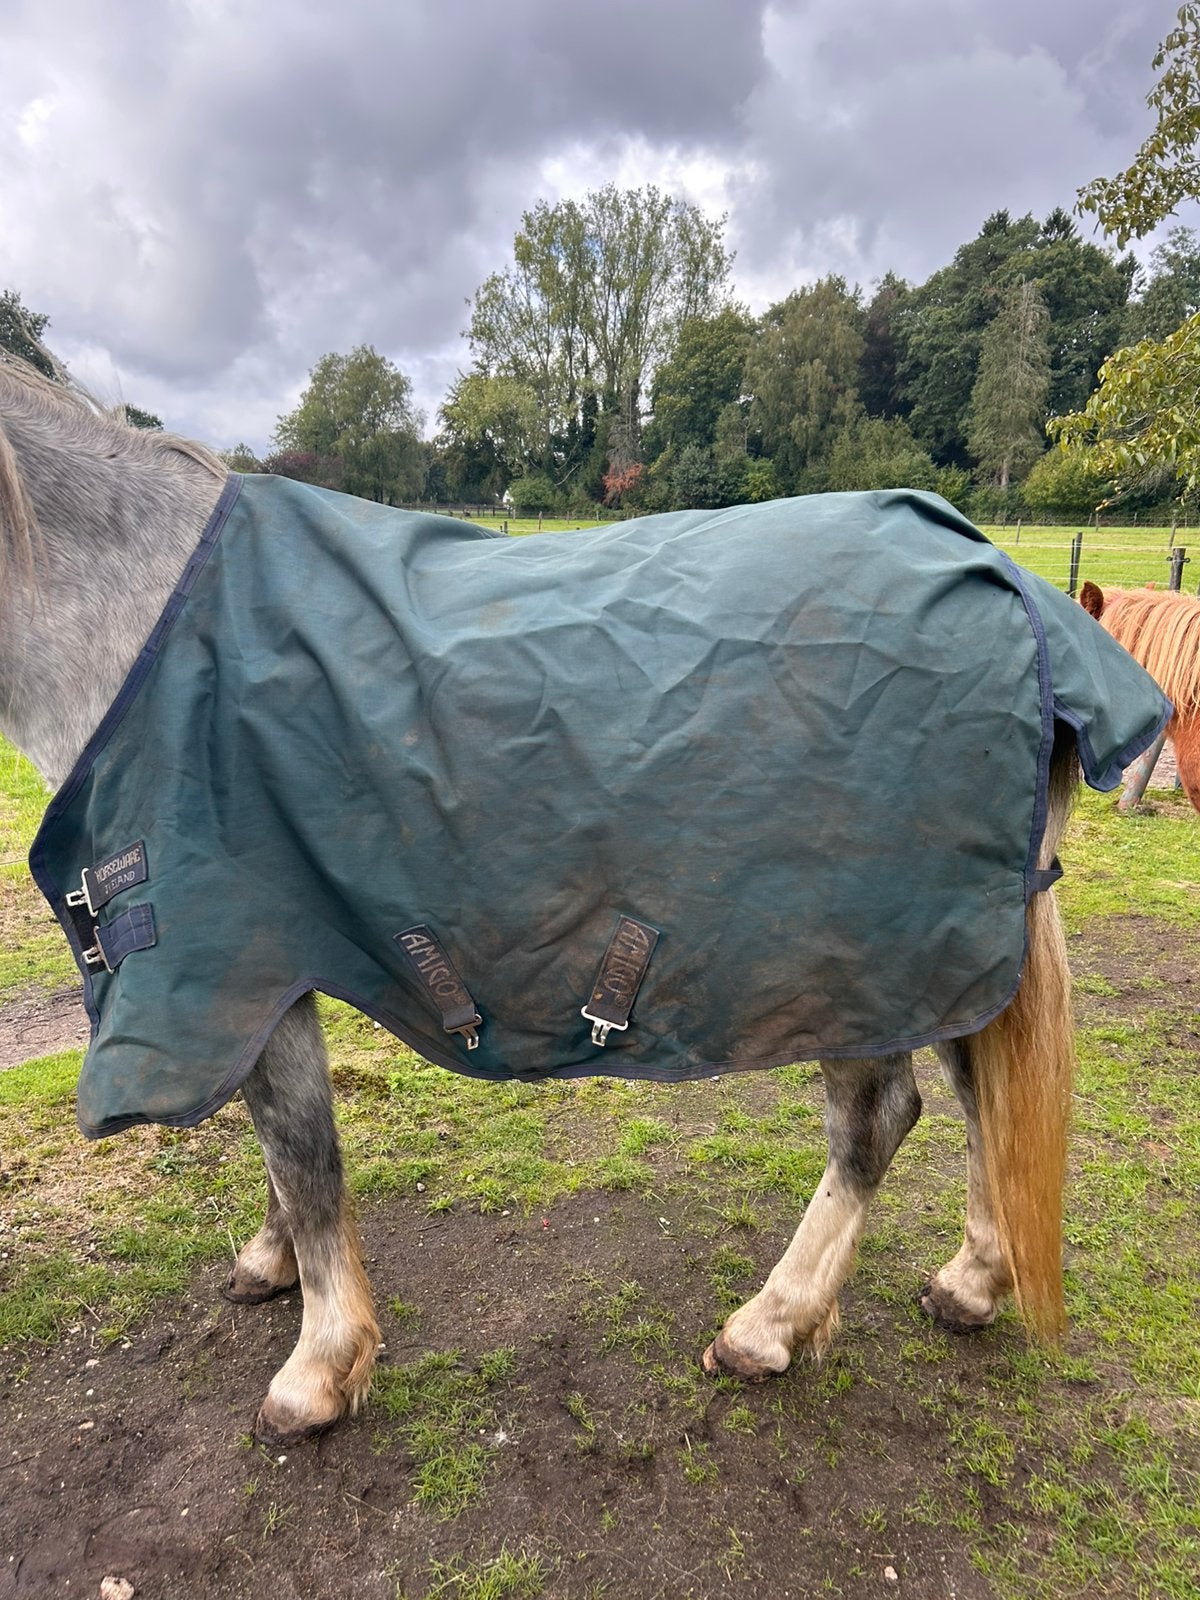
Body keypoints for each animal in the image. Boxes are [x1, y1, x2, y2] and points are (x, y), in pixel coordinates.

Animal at [0, 358, 1168, 1449]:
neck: (143, 613)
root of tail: (1013, 582)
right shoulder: (259, 962)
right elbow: (285, 1151)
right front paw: (269, 1262)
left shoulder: (237, 959)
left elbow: (301, 1149)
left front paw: (319, 1368)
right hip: (952, 948)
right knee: (981, 1092)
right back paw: (971, 1280)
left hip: (855, 963)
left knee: (878, 1120)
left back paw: (771, 1324)